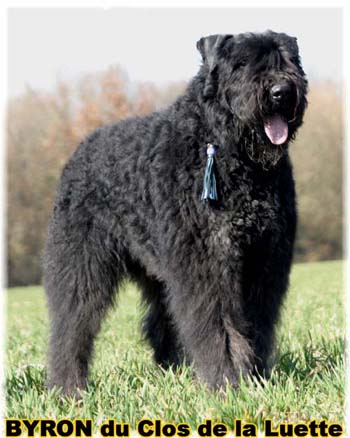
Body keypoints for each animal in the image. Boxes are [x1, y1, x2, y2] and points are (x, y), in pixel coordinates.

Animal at [43, 30, 306, 394]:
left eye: (289, 59)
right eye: (241, 64)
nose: (281, 91)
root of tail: (81, 149)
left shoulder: (264, 260)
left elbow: (256, 321)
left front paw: (255, 376)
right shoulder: (206, 261)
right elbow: (218, 323)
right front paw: (226, 380)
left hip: (158, 268)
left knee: (160, 320)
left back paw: (173, 369)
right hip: (83, 262)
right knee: (72, 323)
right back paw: (68, 387)